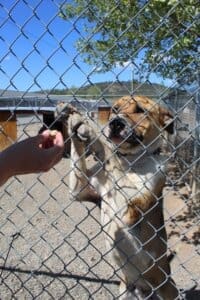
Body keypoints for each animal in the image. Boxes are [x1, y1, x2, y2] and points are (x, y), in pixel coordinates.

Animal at [58, 96, 179, 300]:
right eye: (114, 109)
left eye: (140, 110)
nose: (115, 123)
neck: (131, 162)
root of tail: (145, 290)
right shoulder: (79, 191)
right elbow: (94, 156)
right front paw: (75, 120)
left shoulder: (130, 210)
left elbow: (108, 152)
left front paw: (90, 129)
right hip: (125, 292)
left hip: (169, 290)